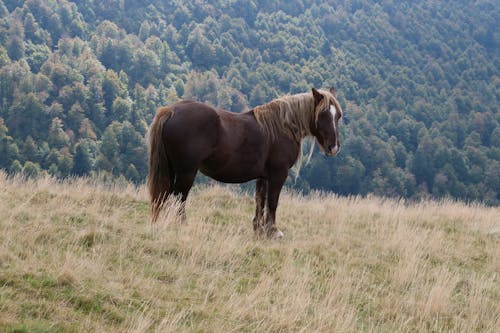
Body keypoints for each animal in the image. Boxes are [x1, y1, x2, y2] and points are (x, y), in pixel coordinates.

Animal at [148, 87, 344, 237]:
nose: (333, 147)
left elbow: (260, 201)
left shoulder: (264, 177)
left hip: (173, 169)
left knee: (166, 195)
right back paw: (180, 224)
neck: (282, 127)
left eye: (338, 116)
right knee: (178, 197)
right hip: (187, 172)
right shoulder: (278, 174)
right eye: (323, 114)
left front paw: (259, 230)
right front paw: (273, 231)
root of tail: (171, 110)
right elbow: (272, 202)